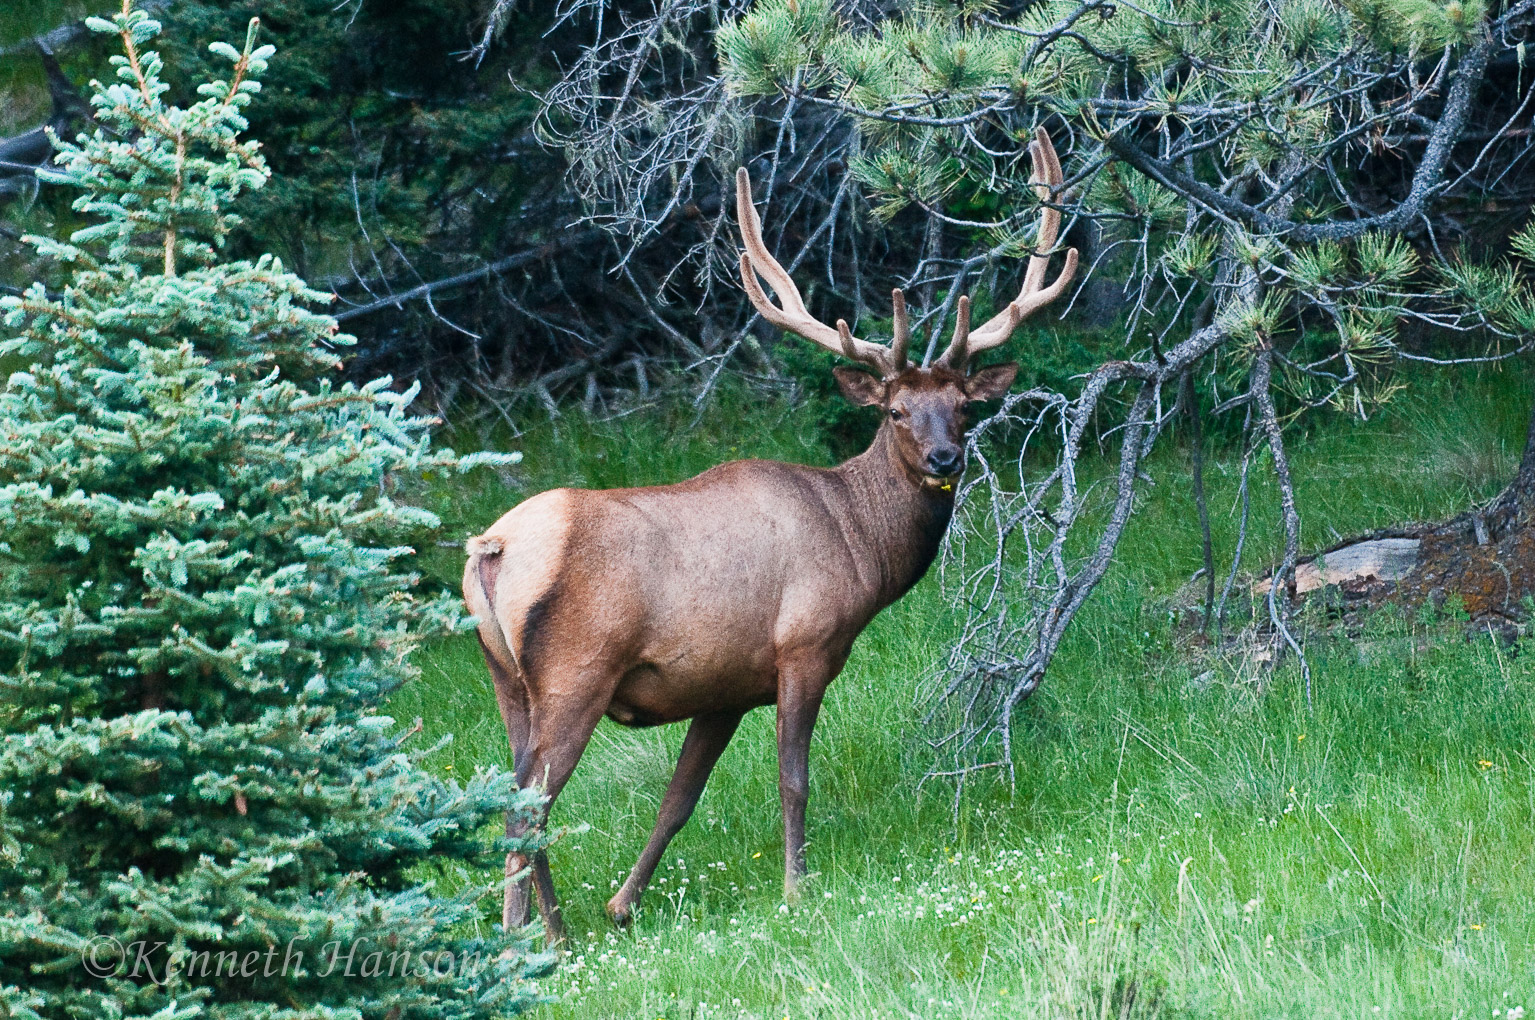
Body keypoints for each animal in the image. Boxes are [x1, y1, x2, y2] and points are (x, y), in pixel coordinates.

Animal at [460, 127, 1074, 940]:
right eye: (895, 412)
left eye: (963, 407)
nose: (946, 458)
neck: (859, 541)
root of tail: (490, 549)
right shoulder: (803, 645)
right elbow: (793, 779)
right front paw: (795, 888)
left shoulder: (722, 683)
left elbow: (679, 799)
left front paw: (623, 904)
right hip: (575, 671)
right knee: (526, 807)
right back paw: (526, 939)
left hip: (504, 678)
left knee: (518, 794)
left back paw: (555, 930)